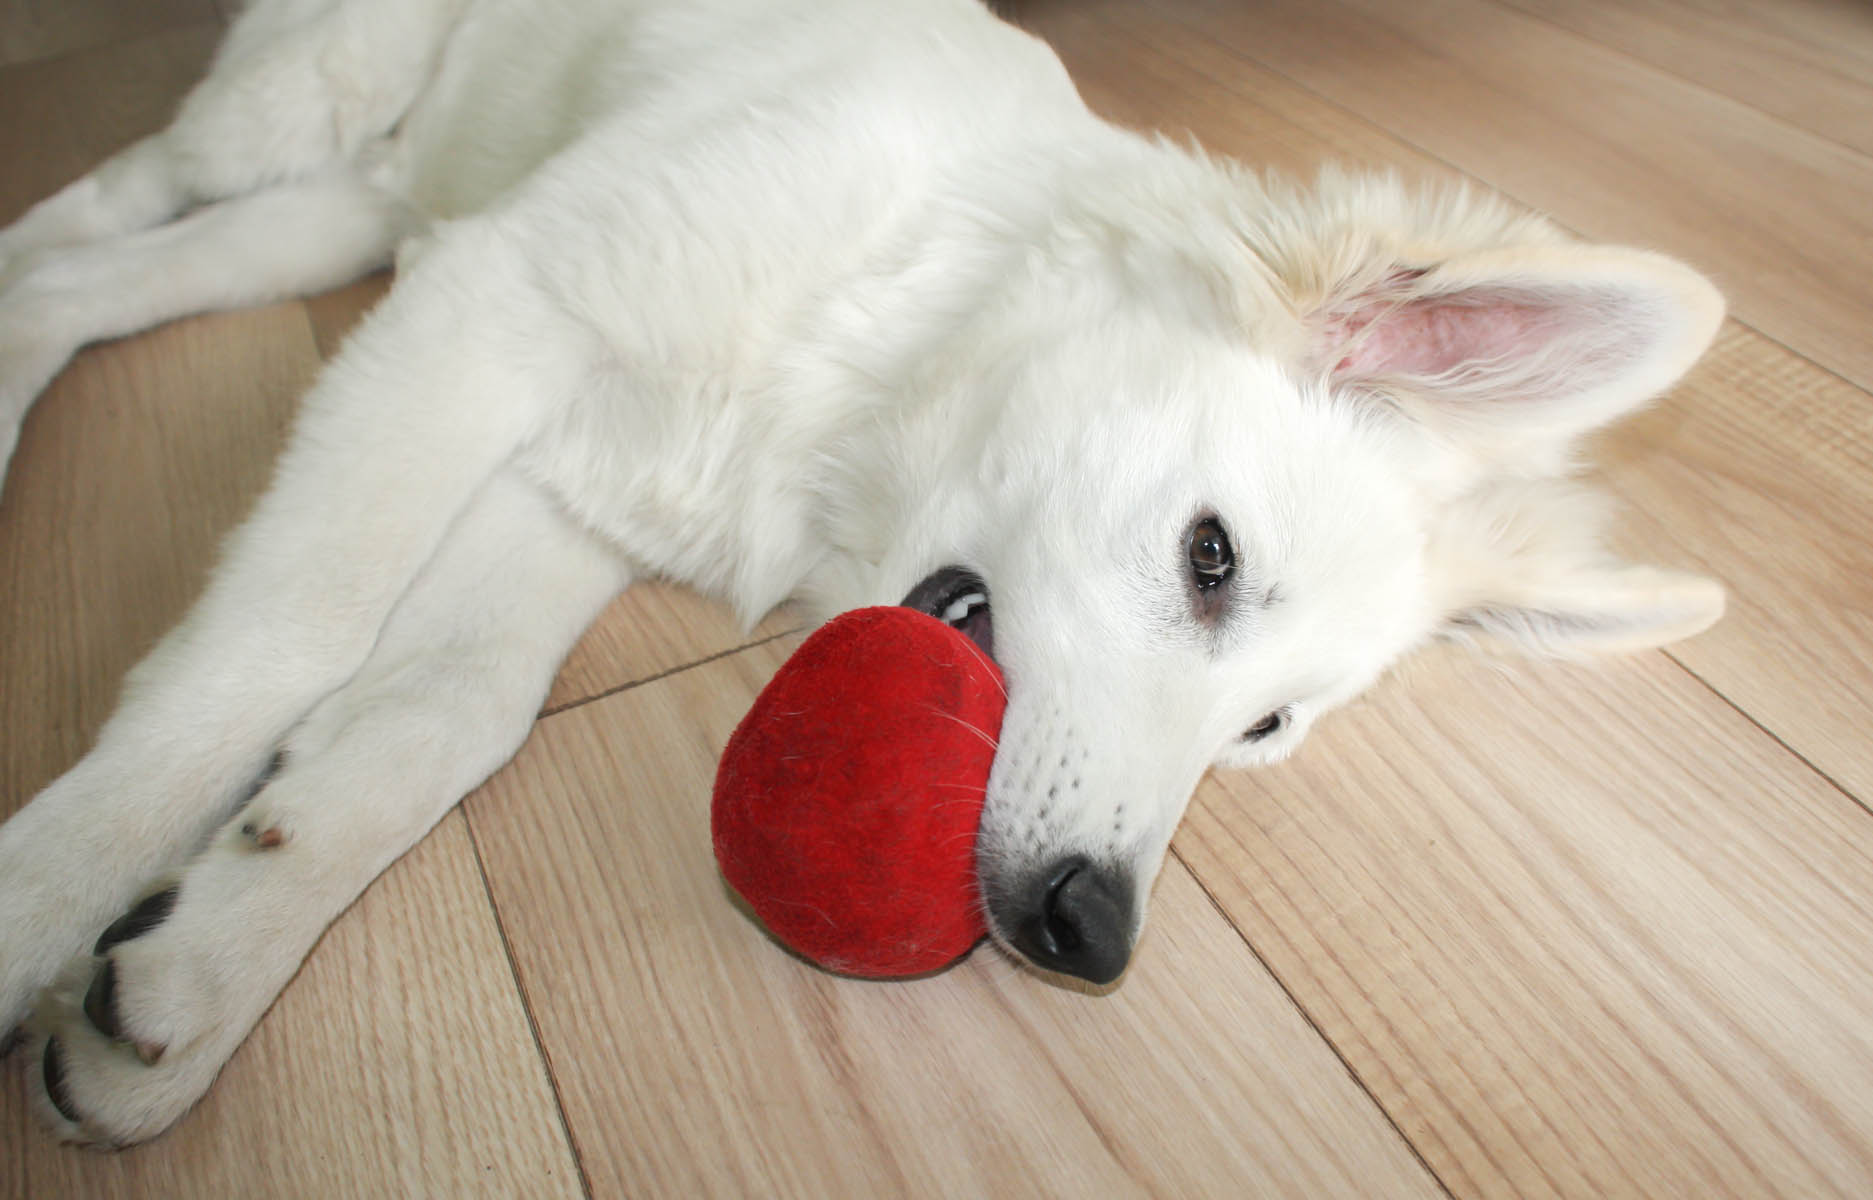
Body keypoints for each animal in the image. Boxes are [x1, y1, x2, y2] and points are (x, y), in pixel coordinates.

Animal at [0, 0, 1723, 1146]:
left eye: (1263, 734)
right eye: (1210, 557)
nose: (1091, 934)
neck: (886, 308)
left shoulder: (577, 482)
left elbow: (444, 708)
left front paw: (208, 955)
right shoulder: (494, 310)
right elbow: (289, 635)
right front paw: (49, 889)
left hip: (355, 205)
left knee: (98, 278)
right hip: (305, 109)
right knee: (108, 197)